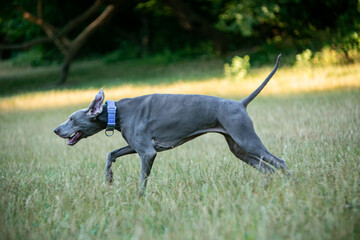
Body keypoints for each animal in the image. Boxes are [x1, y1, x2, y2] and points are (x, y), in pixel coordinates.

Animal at [54, 55, 294, 196]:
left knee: (279, 162)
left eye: (71, 119)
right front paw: (109, 178)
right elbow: (111, 154)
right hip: (238, 147)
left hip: (245, 138)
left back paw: (295, 185)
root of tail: (240, 103)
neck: (116, 111)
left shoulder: (147, 152)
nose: (55, 130)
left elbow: (142, 180)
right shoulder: (135, 145)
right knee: (267, 168)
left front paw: (139, 199)